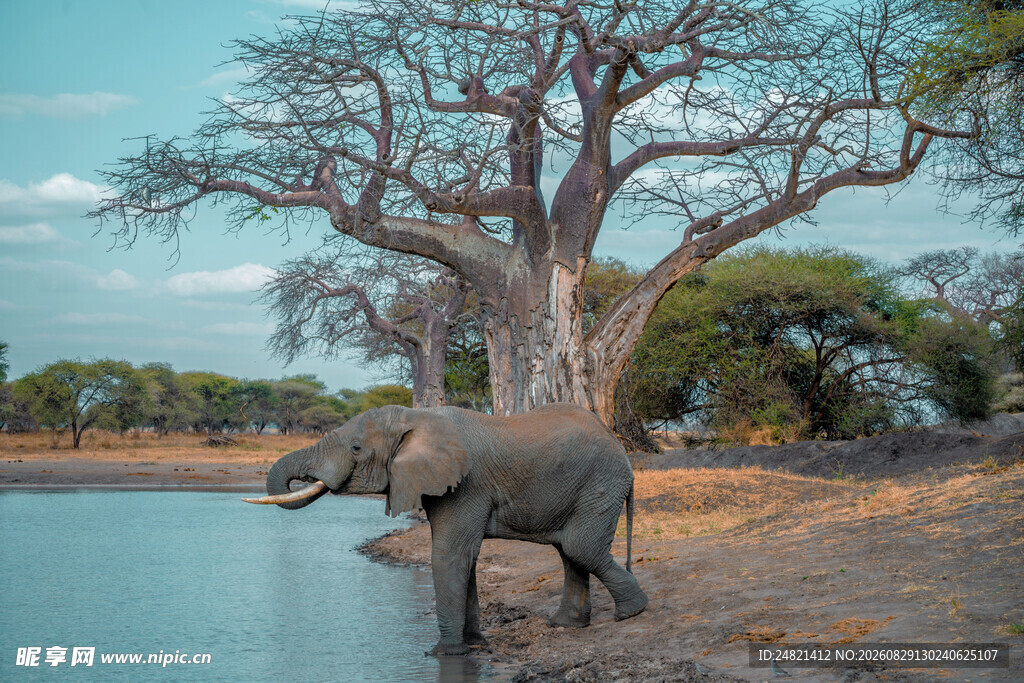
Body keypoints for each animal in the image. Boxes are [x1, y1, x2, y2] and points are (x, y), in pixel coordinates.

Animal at [243, 402, 648, 656]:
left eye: (356, 447)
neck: (417, 417)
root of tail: (619, 446)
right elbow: (464, 559)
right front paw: (474, 645)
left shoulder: (465, 484)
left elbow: (449, 556)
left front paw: (444, 653)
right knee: (569, 551)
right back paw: (566, 626)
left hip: (600, 483)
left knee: (580, 547)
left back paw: (633, 614)